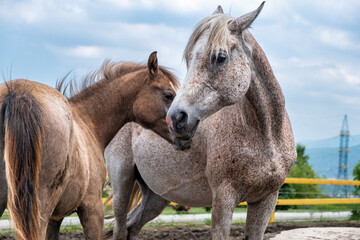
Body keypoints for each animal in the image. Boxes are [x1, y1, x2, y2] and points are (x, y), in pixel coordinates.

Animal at [0, 52, 179, 240]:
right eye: (169, 95)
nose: (186, 130)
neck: (87, 119)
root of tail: (18, 94)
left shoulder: (55, 218)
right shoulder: (92, 209)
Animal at [105, 2, 296, 239]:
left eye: (220, 57)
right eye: (189, 59)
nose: (175, 118)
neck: (267, 136)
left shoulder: (266, 201)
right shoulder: (223, 200)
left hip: (155, 198)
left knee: (132, 227)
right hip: (121, 185)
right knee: (120, 228)